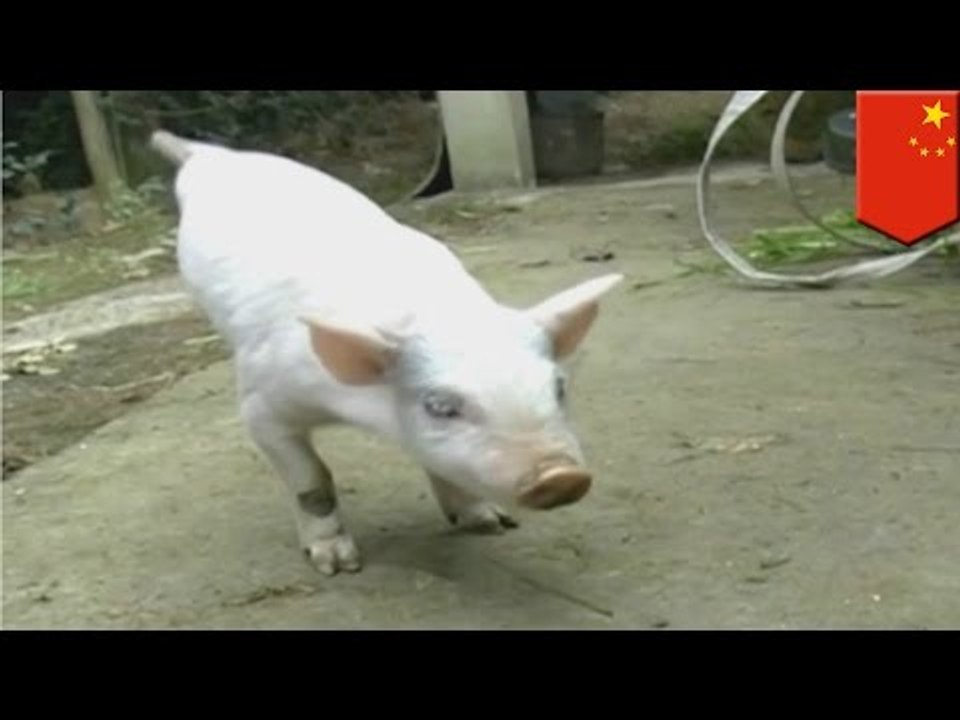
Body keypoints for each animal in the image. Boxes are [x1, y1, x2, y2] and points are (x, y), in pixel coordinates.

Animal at [150, 129, 623, 575]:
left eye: (558, 388)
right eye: (439, 406)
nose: (561, 476)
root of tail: (211, 155)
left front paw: (492, 524)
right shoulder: (263, 402)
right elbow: (312, 480)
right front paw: (338, 566)